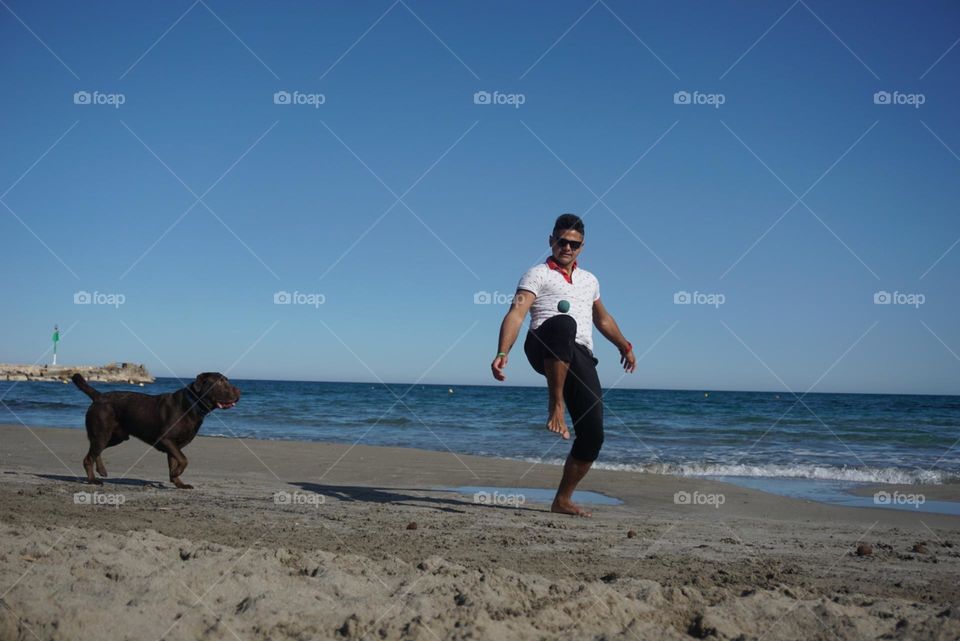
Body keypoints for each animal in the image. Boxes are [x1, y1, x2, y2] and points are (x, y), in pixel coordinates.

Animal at [71, 372, 240, 488]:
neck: (192, 404)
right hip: (103, 433)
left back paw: (101, 470)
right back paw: (93, 480)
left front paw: (178, 482)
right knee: (89, 457)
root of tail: (98, 396)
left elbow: (175, 461)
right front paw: (176, 474)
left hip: (115, 437)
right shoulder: (166, 439)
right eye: (220, 382)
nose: (239, 391)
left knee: (95, 451)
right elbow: (184, 460)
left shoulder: (174, 445)